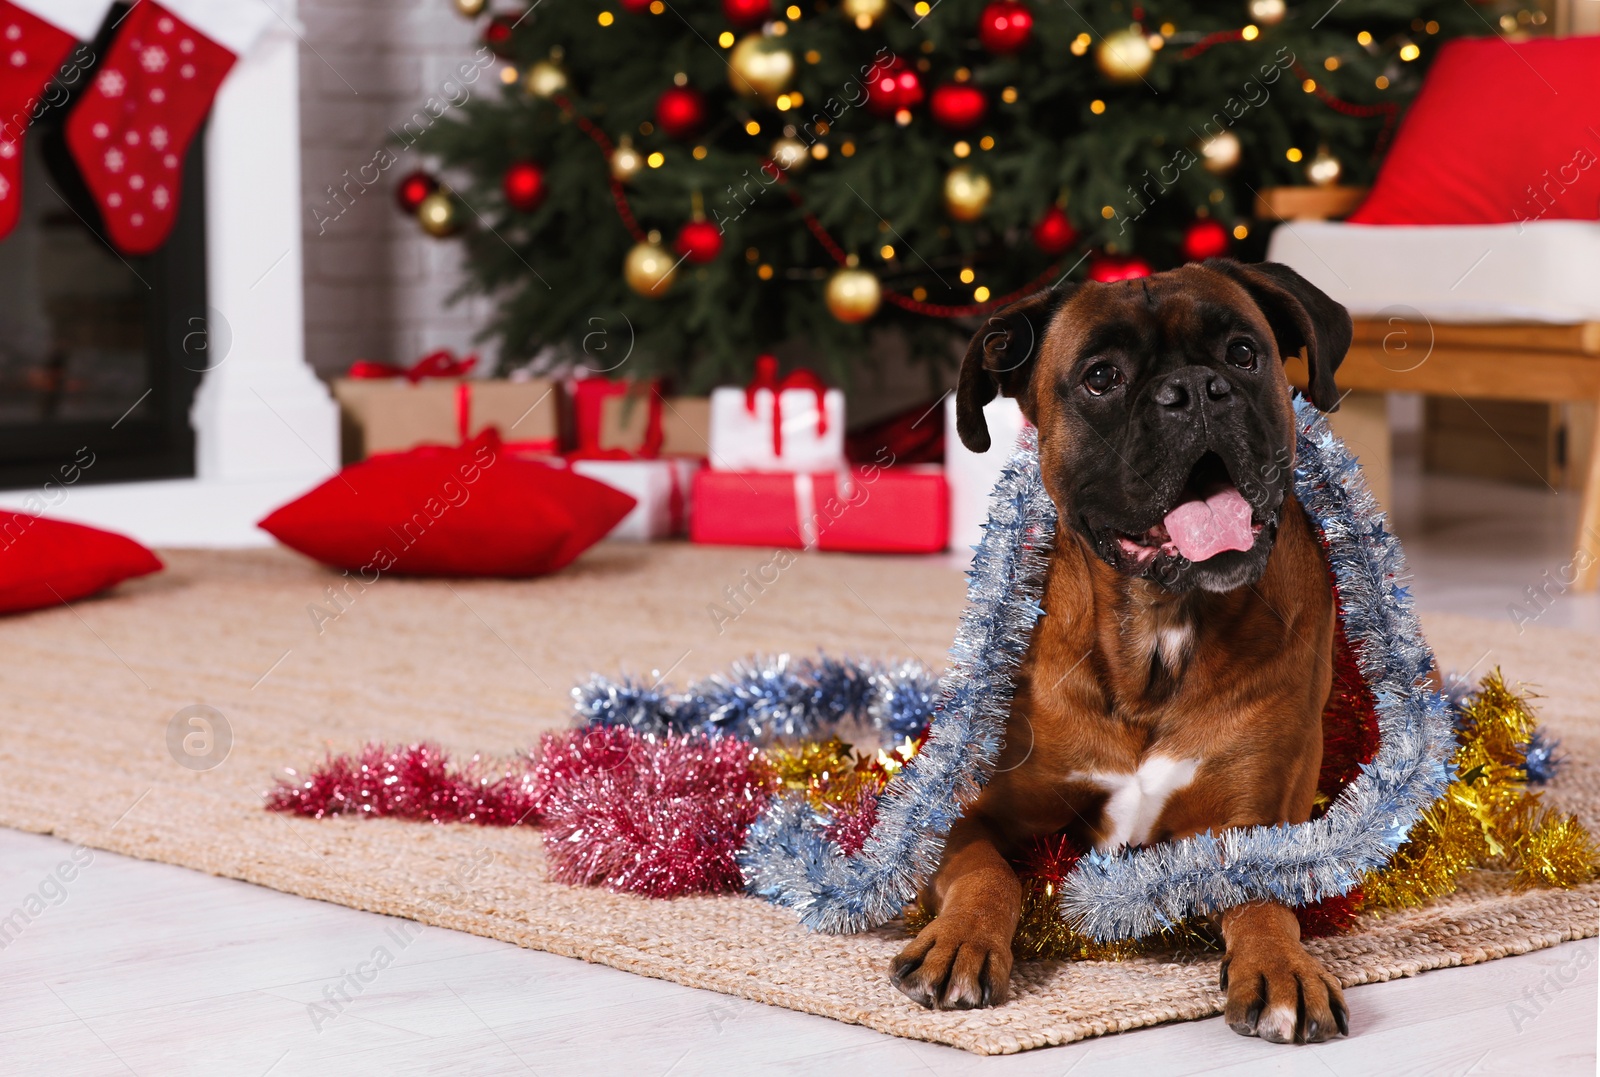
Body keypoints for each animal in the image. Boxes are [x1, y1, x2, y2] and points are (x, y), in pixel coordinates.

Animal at [896, 257, 1356, 1043]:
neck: (1159, 628)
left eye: (1243, 354)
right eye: (1101, 376)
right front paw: (960, 941)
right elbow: (989, 871)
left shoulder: (1256, 821)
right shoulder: (962, 816)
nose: (1196, 391)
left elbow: (1263, 900)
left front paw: (1281, 967)